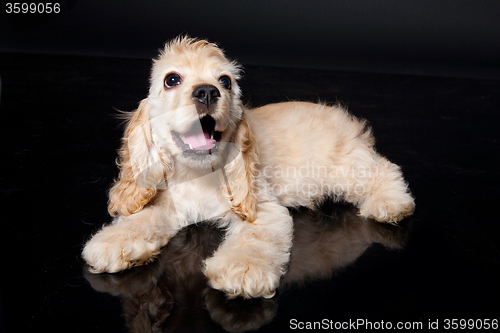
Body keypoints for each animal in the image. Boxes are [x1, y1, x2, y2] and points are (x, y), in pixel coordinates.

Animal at [82, 36, 414, 298]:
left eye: (225, 81)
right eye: (171, 79)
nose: (207, 91)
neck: (200, 174)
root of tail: (342, 116)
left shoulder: (263, 208)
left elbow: (253, 241)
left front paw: (241, 269)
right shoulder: (169, 203)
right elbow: (144, 217)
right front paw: (115, 241)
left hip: (346, 168)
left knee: (384, 169)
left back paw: (391, 203)